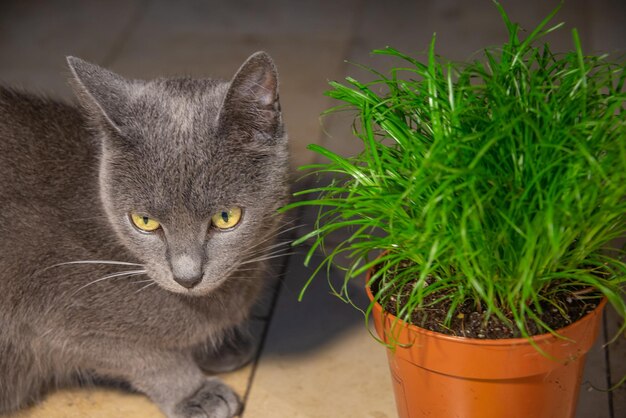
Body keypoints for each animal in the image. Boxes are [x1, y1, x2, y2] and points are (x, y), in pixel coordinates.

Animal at [0, 53, 288, 418]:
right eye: (145, 221)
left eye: (226, 218)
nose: (187, 277)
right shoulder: (47, 308)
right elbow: (143, 356)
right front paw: (195, 392)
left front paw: (220, 347)